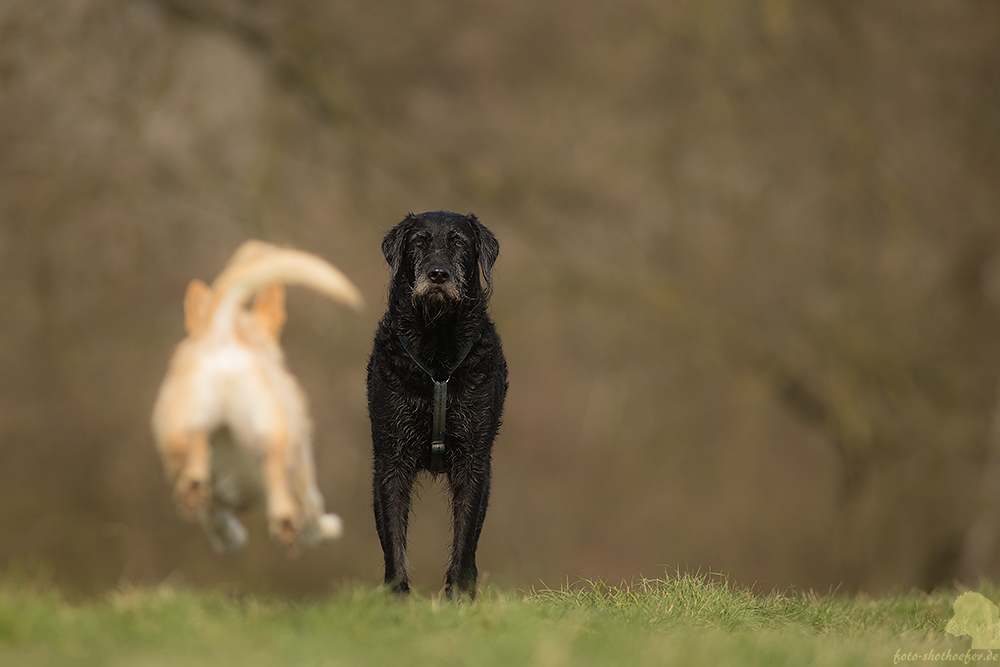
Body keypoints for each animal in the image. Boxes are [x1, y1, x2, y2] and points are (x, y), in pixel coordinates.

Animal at [152, 243, 364, 556]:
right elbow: (313, 509)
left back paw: (194, 488)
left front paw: (229, 536)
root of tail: (224, 335)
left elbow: (214, 517)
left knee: (196, 449)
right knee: (278, 480)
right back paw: (286, 526)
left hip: (179, 430)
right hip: (274, 435)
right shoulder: (305, 473)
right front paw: (324, 529)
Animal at [366, 210, 508, 600]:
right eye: (419, 242)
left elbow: (465, 540)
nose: (438, 274)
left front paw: (458, 598)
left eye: (459, 242)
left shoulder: (474, 463)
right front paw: (397, 601)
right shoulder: (391, 459)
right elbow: (394, 541)